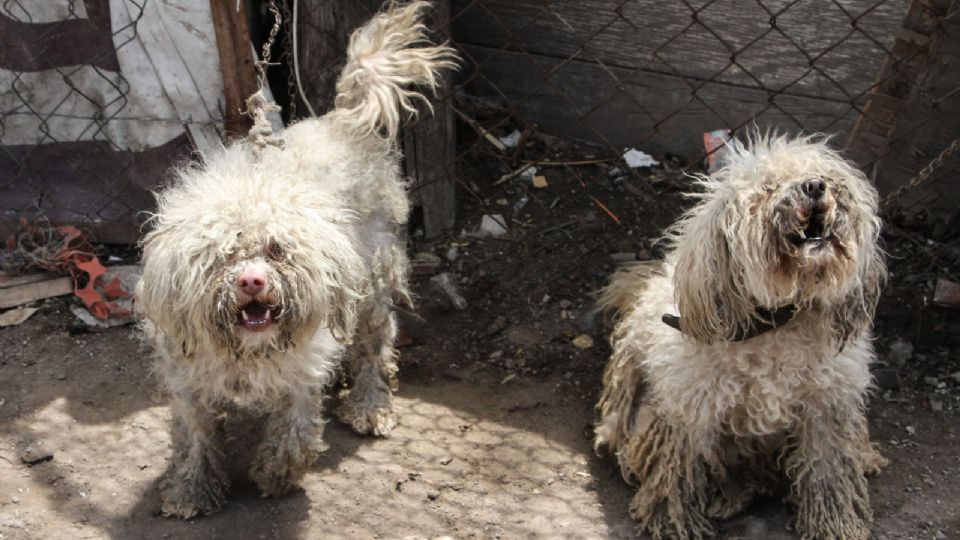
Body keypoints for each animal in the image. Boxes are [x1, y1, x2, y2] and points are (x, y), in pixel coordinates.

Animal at [136, 3, 458, 520]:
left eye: (276, 249)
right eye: (224, 255)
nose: (251, 281)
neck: (247, 353)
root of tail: (344, 120)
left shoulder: (300, 376)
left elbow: (294, 434)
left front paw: (275, 475)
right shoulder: (188, 386)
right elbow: (194, 440)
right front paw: (191, 490)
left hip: (373, 285)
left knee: (376, 349)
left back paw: (370, 406)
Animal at [596, 135, 888, 540]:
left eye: (825, 175)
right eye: (767, 189)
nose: (815, 186)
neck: (777, 322)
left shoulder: (826, 409)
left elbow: (827, 472)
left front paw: (835, 524)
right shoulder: (688, 411)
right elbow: (676, 472)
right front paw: (673, 520)